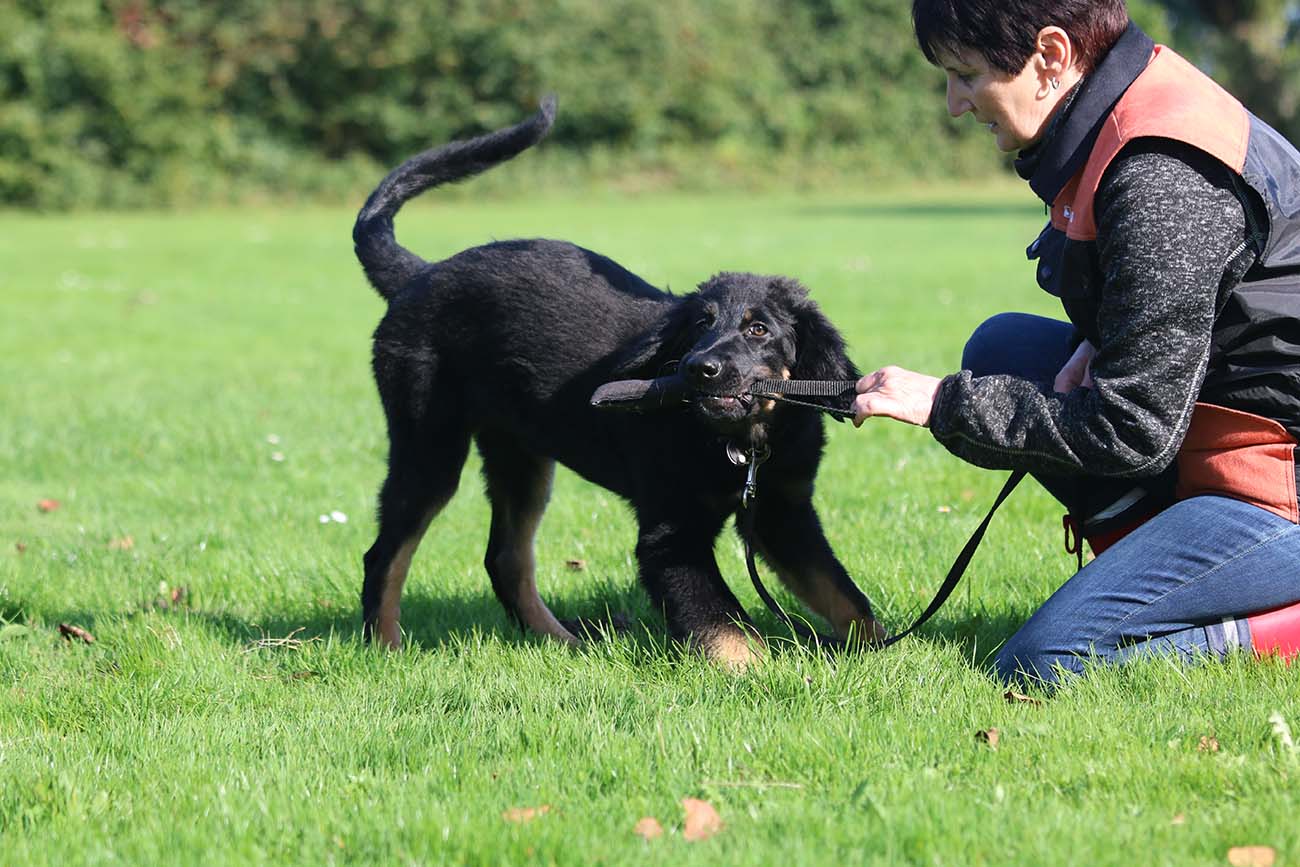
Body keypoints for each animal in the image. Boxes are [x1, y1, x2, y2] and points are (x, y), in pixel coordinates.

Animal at [352, 97, 883, 667]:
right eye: (699, 325)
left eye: (758, 329)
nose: (699, 368)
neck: (741, 446)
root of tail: (417, 275)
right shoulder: (672, 532)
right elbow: (725, 625)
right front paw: (761, 673)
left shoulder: (783, 513)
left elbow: (846, 598)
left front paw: (881, 654)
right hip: (429, 443)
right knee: (385, 554)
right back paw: (386, 647)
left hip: (519, 455)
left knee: (505, 558)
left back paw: (564, 641)